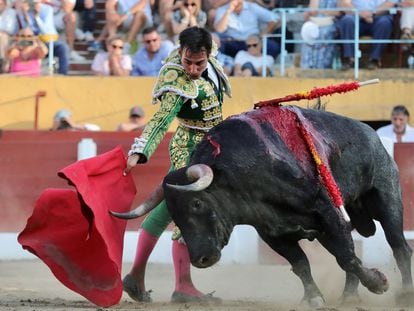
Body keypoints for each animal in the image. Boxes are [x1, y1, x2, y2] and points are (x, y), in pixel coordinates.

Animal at [111, 106, 412, 306]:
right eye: (173, 213)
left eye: (196, 203)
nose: (200, 259)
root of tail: (371, 132)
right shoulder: (272, 232)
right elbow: (302, 264)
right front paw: (313, 298)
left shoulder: (326, 211)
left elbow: (346, 256)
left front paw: (379, 283)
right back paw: (348, 296)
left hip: (386, 198)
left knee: (398, 245)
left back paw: (403, 293)